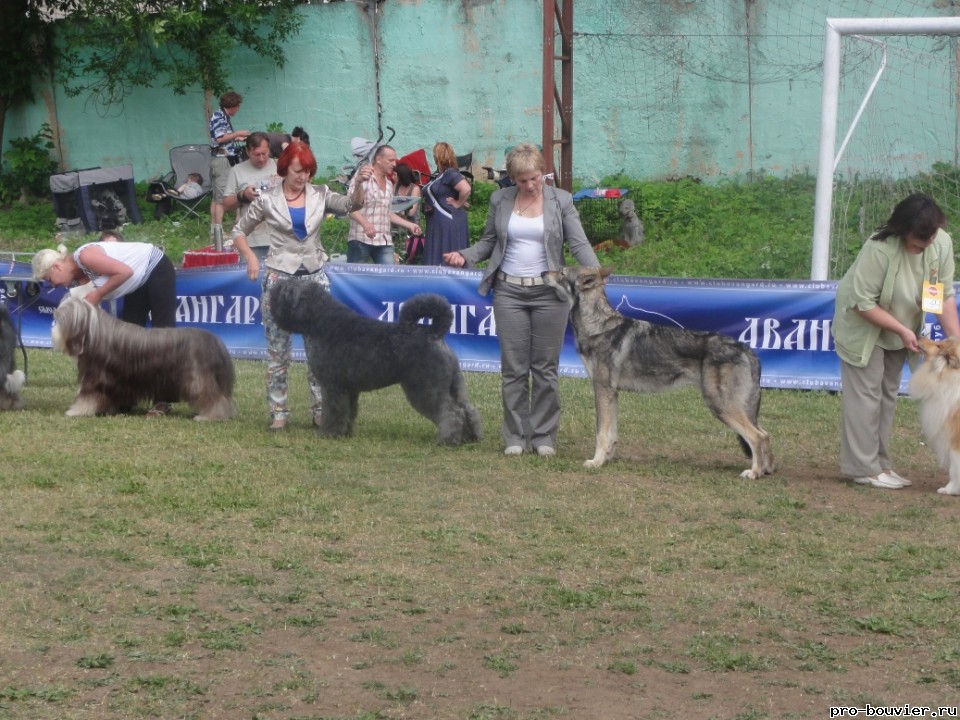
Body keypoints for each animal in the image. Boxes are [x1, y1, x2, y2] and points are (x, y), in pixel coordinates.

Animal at [268, 280, 480, 444]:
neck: (323, 322)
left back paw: (447, 439)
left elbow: (334, 412)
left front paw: (329, 433)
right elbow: (349, 412)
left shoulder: (333, 387)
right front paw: (345, 433)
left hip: (427, 387)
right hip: (453, 385)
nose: (270, 297)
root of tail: (434, 333)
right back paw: (470, 437)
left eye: (281, 292)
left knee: (451, 412)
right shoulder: (349, 389)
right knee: (467, 409)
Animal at [544, 264, 776, 478]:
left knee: (756, 436)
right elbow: (611, 434)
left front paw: (596, 462)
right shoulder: (612, 394)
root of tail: (746, 348)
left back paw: (754, 473)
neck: (597, 326)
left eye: (562, 272)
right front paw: (607, 459)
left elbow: (601, 433)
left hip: (720, 405)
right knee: (765, 434)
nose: (543, 273)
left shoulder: (602, 389)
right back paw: (766, 470)